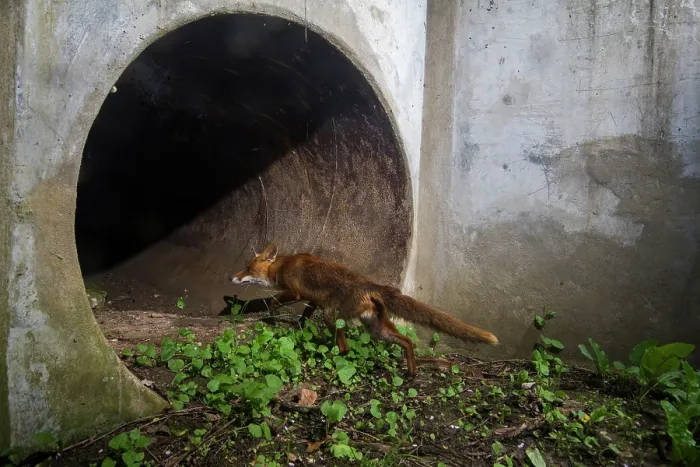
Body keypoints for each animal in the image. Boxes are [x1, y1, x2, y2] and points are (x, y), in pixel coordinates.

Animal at [230, 243, 498, 377]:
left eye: (248, 268)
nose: (232, 277)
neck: (283, 264)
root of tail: (371, 286)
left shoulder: (295, 293)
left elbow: (274, 301)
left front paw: (272, 317)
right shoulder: (313, 300)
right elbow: (304, 315)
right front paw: (299, 325)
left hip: (334, 317)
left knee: (344, 347)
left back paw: (333, 360)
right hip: (377, 329)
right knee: (407, 341)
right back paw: (412, 371)